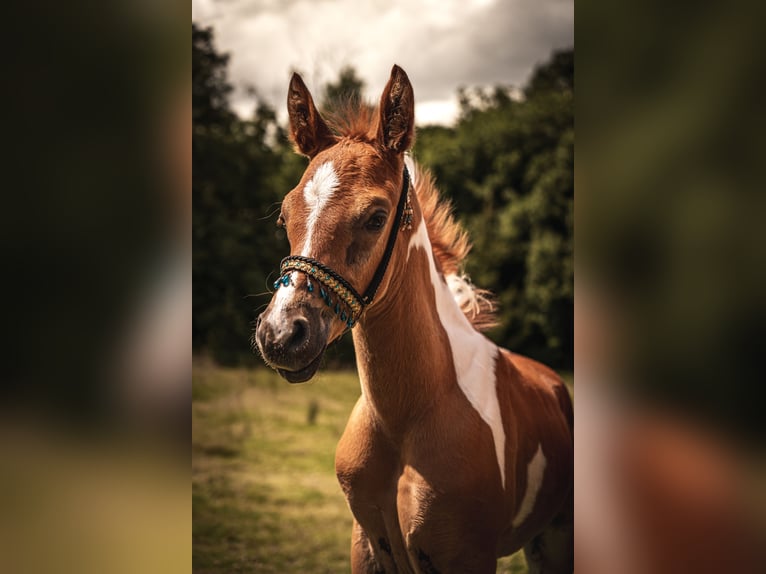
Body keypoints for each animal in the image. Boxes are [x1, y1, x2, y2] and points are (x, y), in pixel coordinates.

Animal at [255, 65, 572, 572]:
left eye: (375, 217)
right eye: (285, 216)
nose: (282, 335)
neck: (405, 416)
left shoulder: (467, 555)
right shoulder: (365, 547)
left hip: (555, 536)